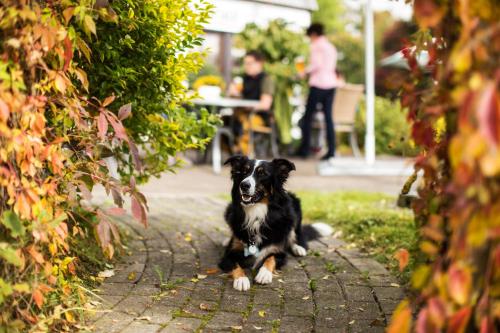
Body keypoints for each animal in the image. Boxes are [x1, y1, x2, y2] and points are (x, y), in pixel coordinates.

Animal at [218, 154, 332, 290]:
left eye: (263, 174)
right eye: (244, 172)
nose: (244, 185)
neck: (256, 213)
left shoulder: (280, 252)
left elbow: (270, 258)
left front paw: (264, 274)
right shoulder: (227, 256)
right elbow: (235, 265)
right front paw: (241, 279)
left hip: (294, 208)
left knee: (295, 234)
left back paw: (298, 247)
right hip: (228, 210)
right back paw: (226, 240)